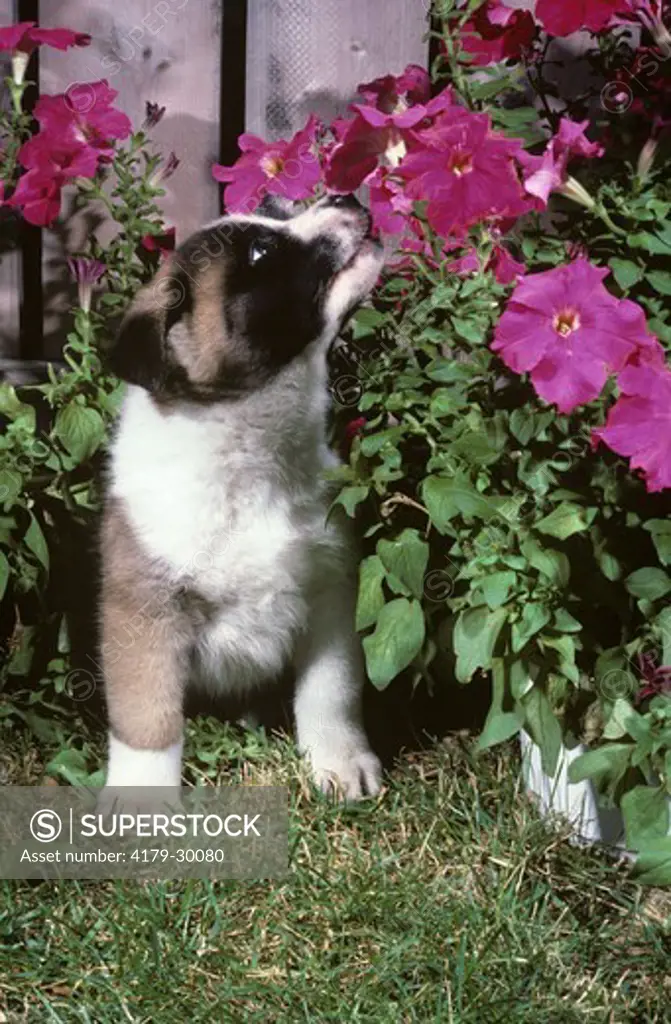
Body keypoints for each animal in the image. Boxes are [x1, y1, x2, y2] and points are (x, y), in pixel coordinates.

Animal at [98, 192, 383, 798]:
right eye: (261, 253)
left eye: (279, 208)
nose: (345, 196)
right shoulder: (144, 612)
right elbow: (148, 718)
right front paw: (144, 799)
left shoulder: (331, 592)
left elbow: (331, 690)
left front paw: (340, 760)